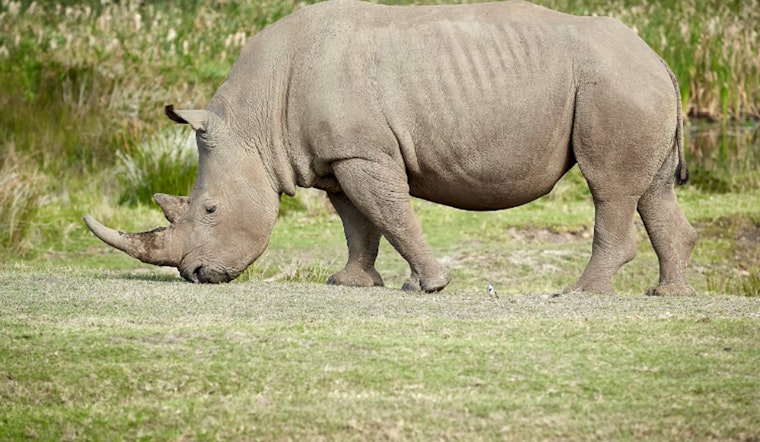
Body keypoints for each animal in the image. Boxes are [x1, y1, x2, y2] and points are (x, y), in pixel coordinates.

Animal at [84, 0, 697, 296]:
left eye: (210, 209)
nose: (196, 276)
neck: (254, 123)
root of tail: (659, 56)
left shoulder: (362, 152)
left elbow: (391, 213)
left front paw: (430, 285)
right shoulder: (337, 157)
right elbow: (359, 223)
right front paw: (351, 284)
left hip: (613, 82)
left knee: (608, 186)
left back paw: (580, 294)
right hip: (632, 80)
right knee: (653, 190)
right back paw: (668, 296)